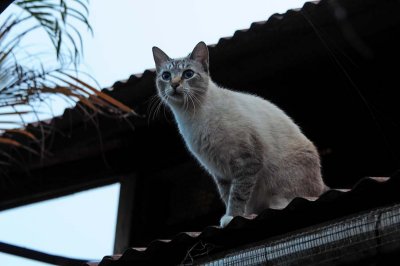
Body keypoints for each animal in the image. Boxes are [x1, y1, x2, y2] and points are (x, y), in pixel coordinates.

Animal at [152, 42, 326, 228]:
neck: (191, 115)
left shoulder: (246, 160)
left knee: (294, 197)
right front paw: (232, 215)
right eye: (166, 76)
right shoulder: (220, 172)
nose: (174, 84)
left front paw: (232, 216)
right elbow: (227, 195)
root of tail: (322, 185)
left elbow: (238, 194)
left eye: (188, 74)